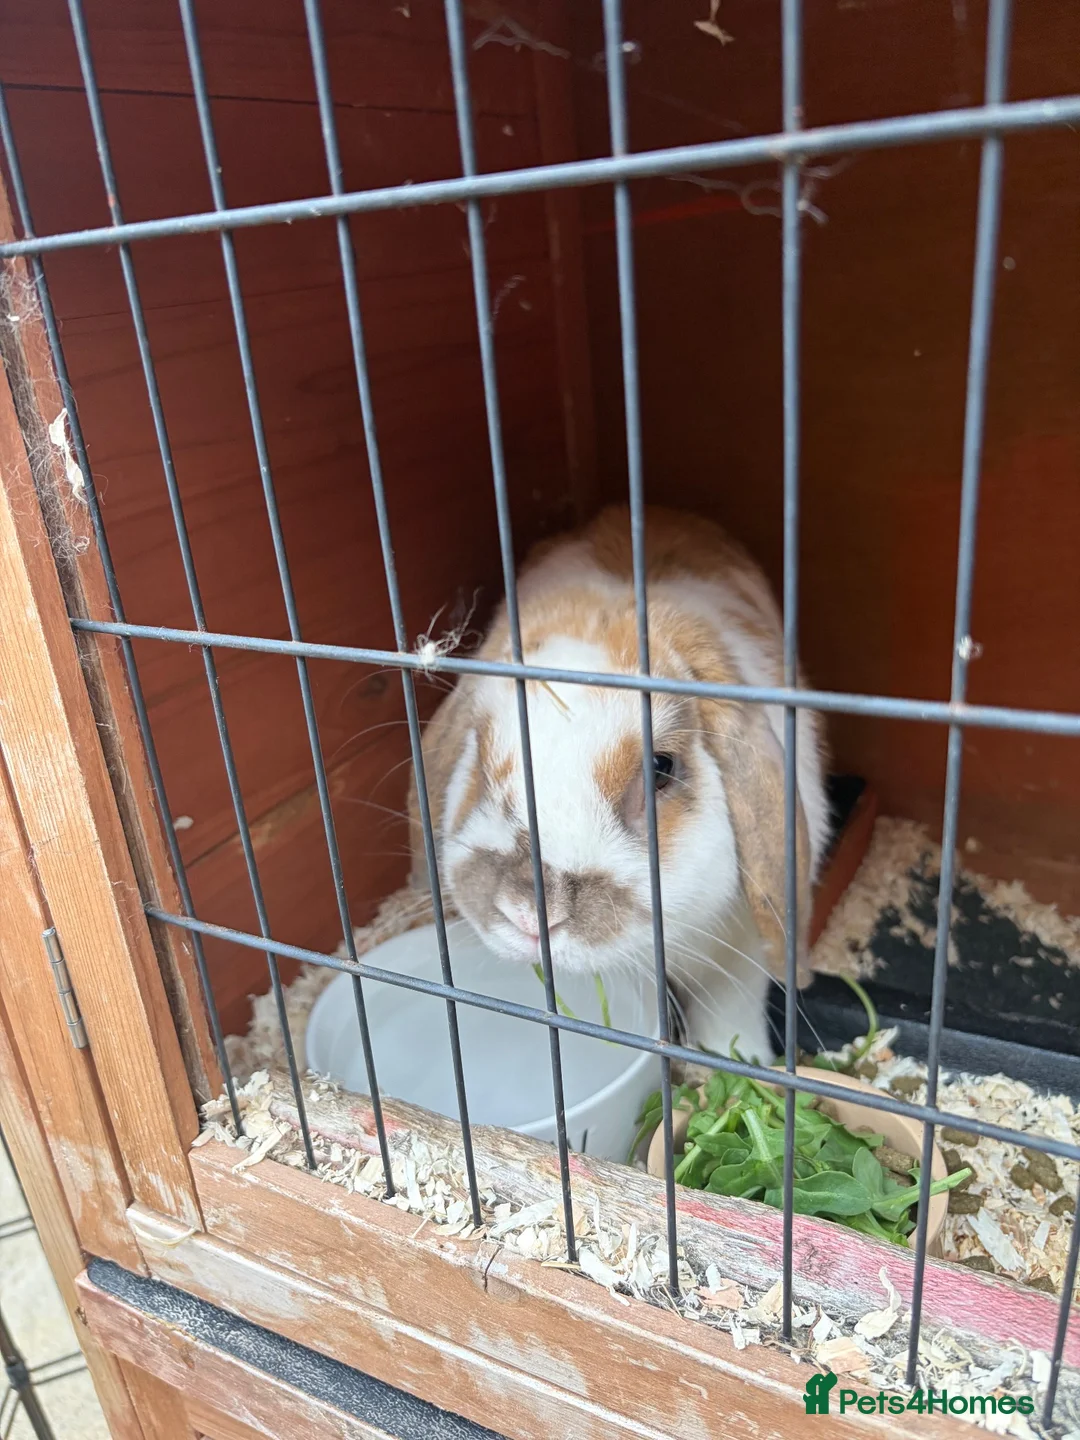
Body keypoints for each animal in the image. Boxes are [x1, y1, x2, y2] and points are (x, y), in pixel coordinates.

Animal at [407, 504, 830, 1064]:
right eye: (479, 750)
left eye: (661, 767)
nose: (530, 916)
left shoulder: (738, 954)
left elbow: (730, 1014)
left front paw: (740, 1063)